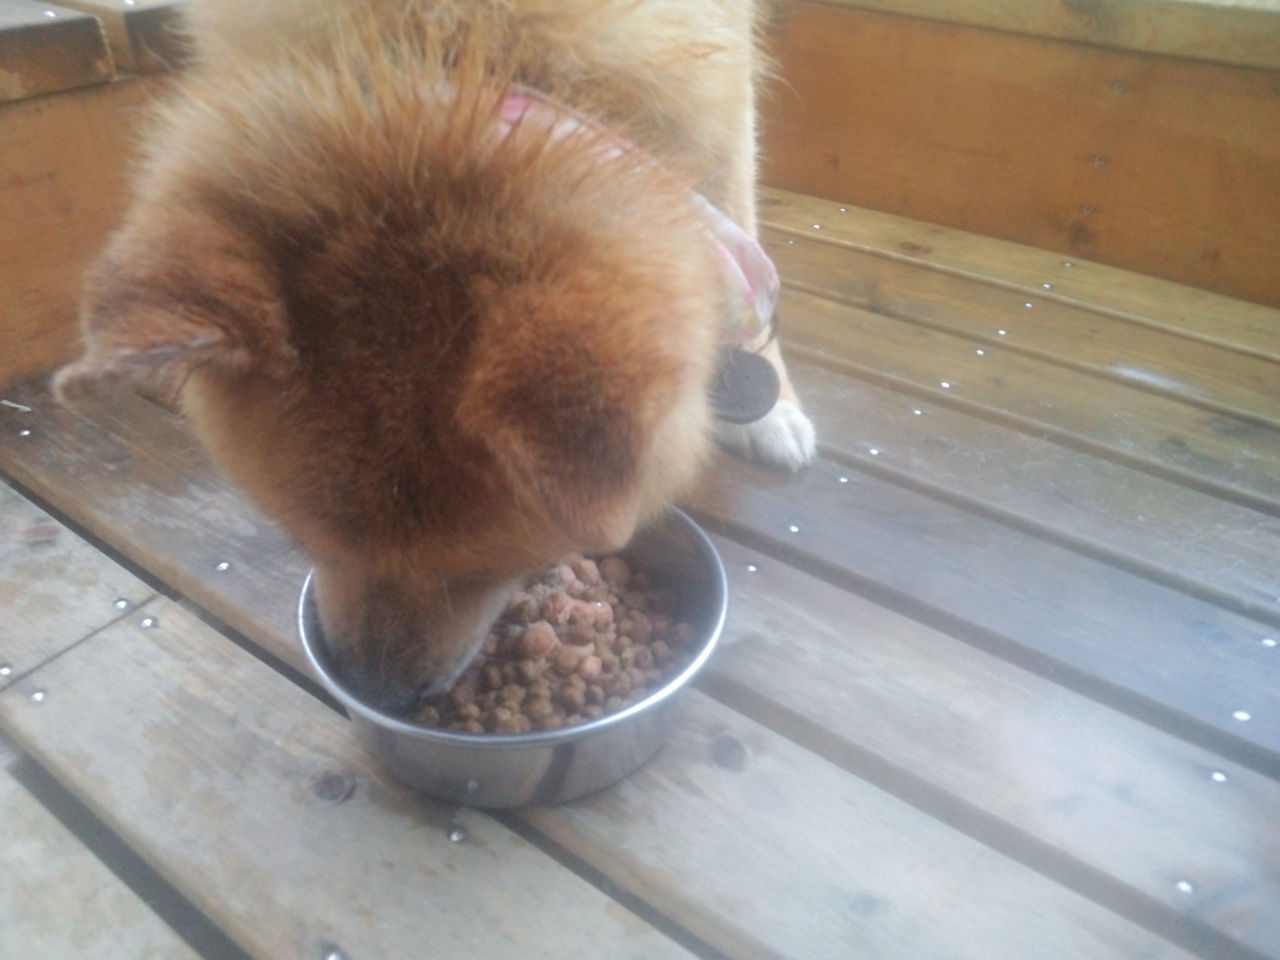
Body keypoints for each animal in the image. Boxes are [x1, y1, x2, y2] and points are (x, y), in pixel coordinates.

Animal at [54, 0, 816, 712]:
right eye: (302, 540)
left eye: (476, 571)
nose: (377, 694)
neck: (465, 46)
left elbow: (736, 215)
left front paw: (769, 403)